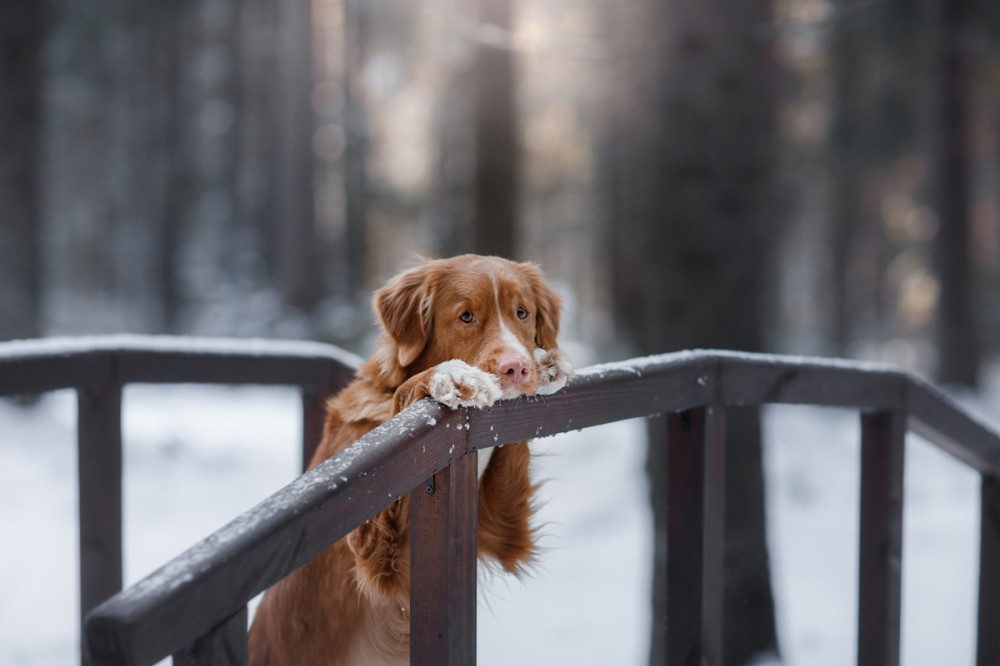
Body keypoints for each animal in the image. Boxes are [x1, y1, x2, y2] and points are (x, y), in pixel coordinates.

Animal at [250, 254, 576, 664]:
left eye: (522, 312)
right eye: (466, 316)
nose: (517, 368)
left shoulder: (501, 527)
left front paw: (547, 363)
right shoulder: (382, 552)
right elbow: (409, 391)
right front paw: (448, 376)